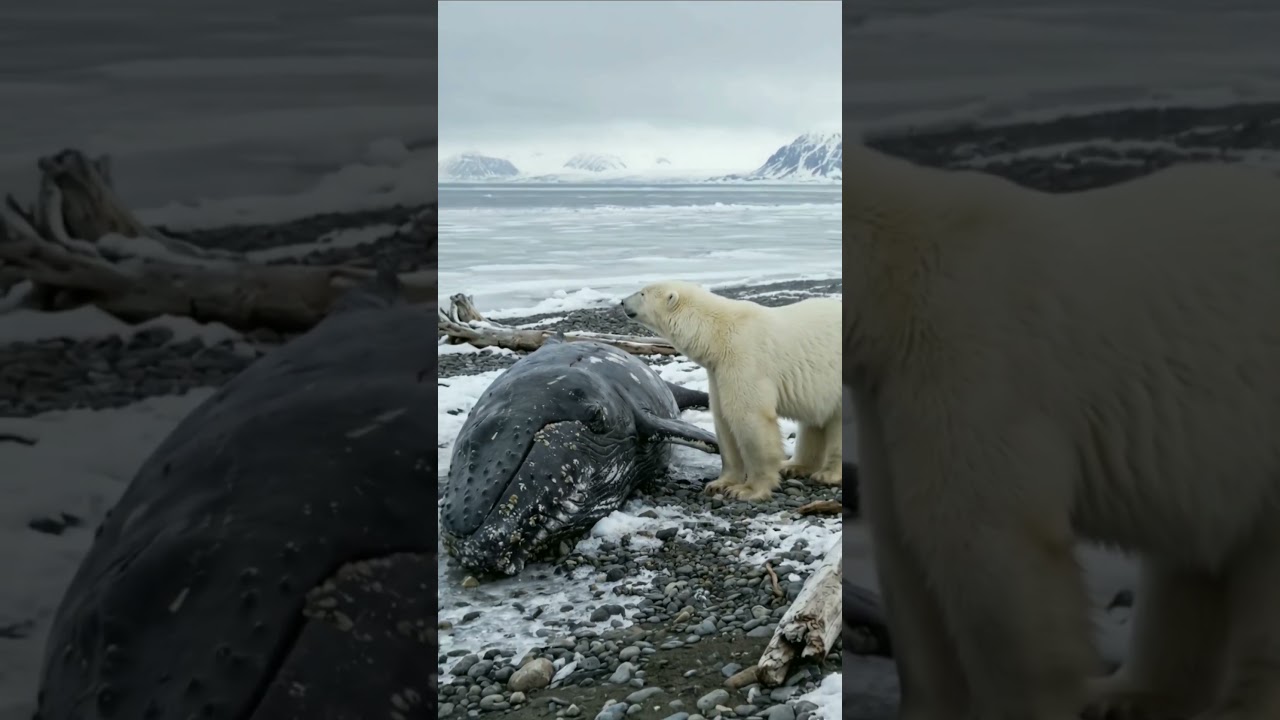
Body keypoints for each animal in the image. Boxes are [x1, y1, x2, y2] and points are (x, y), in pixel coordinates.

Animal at [620, 281, 841, 501]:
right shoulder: (717, 372)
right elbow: (723, 421)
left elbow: (749, 417)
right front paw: (719, 484)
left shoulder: (744, 359)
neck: (716, 334)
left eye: (642, 293)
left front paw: (748, 489)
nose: (622, 302)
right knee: (813, 422)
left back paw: (828, 474)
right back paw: (793, 466)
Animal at [845, 142, 1280, 720]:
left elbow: (987, 539)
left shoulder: (971, 361)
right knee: (1189, 560)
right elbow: (904, 545)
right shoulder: (887, 397)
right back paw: (1128, 695)